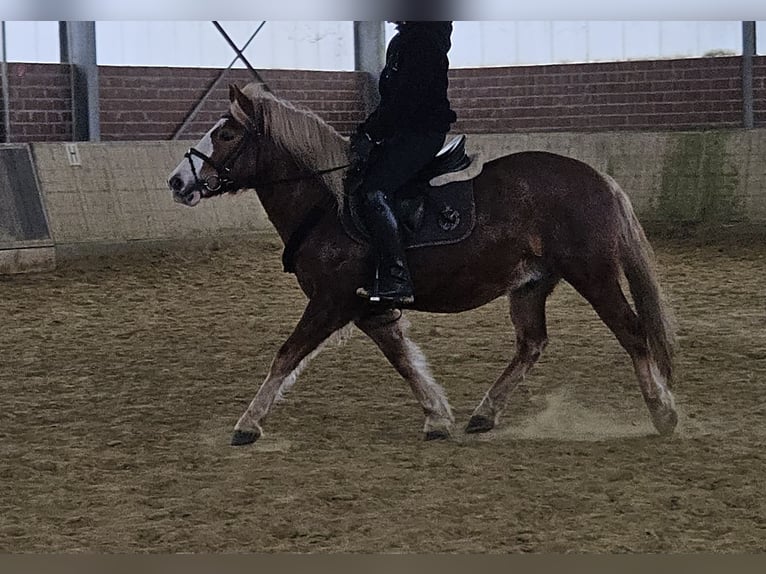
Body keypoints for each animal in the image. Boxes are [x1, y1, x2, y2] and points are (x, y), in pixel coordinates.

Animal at [167, 83, 678, 446]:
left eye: (226, 134)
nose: (177, 181)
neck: (329, 206)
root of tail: (599, 180)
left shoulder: (331, 302)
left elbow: (286, 355)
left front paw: (247, 424)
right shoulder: (368, 308)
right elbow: (404, 360)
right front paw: (437, 417)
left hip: (594, 275)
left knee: (633, 333)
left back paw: (663, 412)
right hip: (530, 284)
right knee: (531, 345)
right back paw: (484, 414)